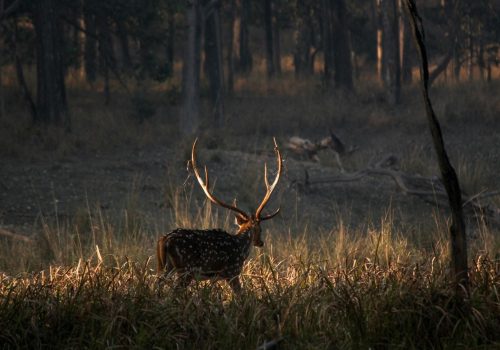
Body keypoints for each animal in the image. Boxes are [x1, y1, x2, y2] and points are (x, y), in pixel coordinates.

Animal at [157, 138, 282, 294]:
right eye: (260, 228)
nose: (261, 242)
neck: (241, 248)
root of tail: (164, 241)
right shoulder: (232, 271)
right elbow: (240, 294)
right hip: (185, 270)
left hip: (163, 267)